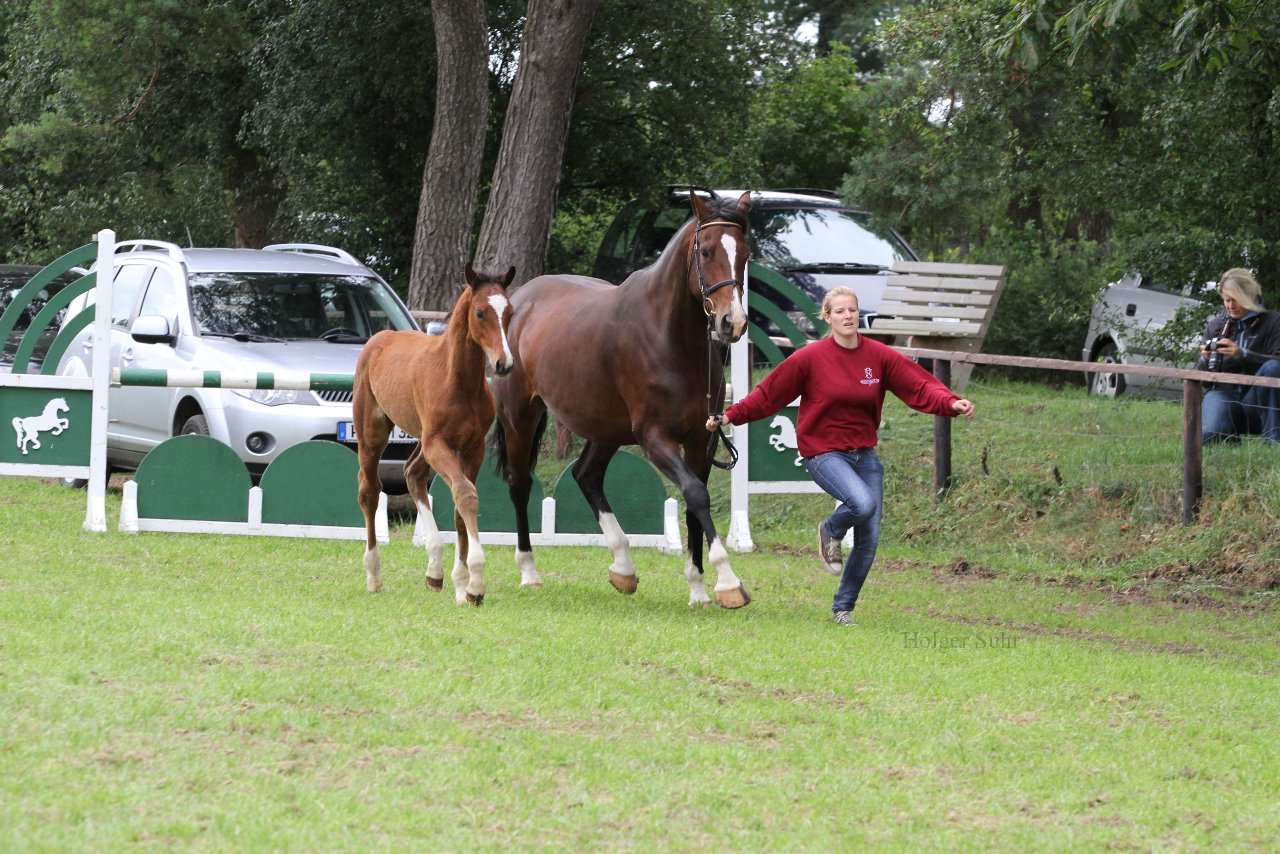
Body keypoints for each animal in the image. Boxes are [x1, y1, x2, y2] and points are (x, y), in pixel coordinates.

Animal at [355, 263, 514, 604]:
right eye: (480, 312)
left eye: (510, 312)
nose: (504, 363)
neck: (458, 380)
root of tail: (380, 337)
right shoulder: (439, 444)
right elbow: (466, 495)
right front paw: (475, 582)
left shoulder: (472, 448)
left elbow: (460, 506)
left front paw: (461, 585)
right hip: (374, 433)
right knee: (370, 491)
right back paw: (374, 575)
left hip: (422, 441)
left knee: (412, 473)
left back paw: (434, 571)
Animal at [488, 193, 747, 606]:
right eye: (705, 252)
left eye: (745, 253)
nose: (731, 323)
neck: (671, 339)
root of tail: (518, 301)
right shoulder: (656, 439)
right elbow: (695, 493)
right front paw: (728, 582)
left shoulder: (700, 441)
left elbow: (695, 503)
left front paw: (698, 588)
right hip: (520, 418)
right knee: (520, 484)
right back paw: (529, 572)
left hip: (605, 429)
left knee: (586, 475)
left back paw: (623, 567)